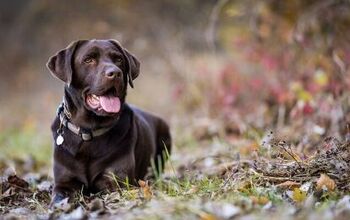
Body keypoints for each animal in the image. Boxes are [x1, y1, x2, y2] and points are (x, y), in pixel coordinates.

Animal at [46, 39, 172, 205]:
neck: (88, 130)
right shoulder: (64, 182)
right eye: (88, 59)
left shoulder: (115, 182)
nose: (115, 73)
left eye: (118, 59)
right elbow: (59, 197)